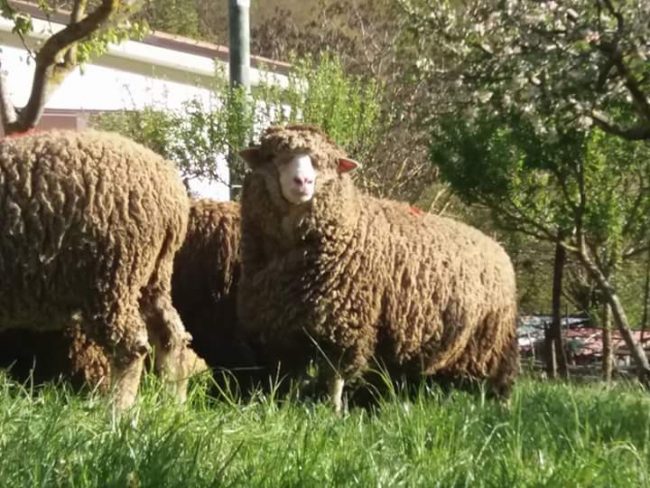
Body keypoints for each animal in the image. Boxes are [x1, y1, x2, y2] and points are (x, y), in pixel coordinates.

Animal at [0, 129, 193, 410]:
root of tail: (174, 200)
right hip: (154, 274)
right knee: (171, 335)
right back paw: (173, 403)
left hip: (114, 276)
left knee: (130, 347)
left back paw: (118, 414)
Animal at [237, 124, 519, 412]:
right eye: (273, 157)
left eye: (324, 162)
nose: (302, 182)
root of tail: (496, 246)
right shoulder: (284, 326)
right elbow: (293, 375)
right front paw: (284, 406)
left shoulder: (347, 324)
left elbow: (335, 376)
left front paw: (333, 411)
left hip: (495, 339)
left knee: (500, 379)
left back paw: (502, 409)